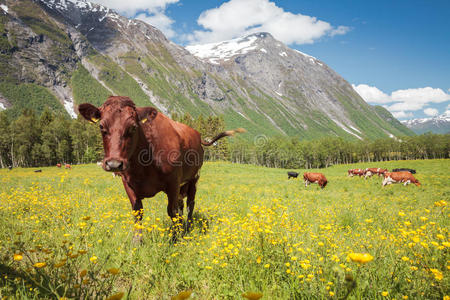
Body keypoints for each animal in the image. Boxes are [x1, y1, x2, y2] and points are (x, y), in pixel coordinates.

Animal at [78, 96, 246, 241]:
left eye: (133, 127)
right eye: (101, 126)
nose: (113, 164)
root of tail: (197, 135)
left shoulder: (173, 182)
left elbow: (171, 211)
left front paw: (176, 238)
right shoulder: (127, 183)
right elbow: (138, 212)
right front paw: (137, 242)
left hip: (194, 178)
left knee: (190, 204)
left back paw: (188, 226)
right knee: (181, 204)